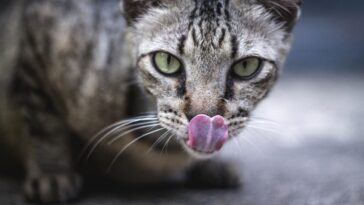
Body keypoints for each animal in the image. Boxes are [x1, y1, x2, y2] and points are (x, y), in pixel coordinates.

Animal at [0, 0, 302, 203]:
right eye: (166, 61)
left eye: (246, 66)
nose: (204, 119)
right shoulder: (38, 35)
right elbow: (43, 121)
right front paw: (52, 173)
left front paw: (211, 167)